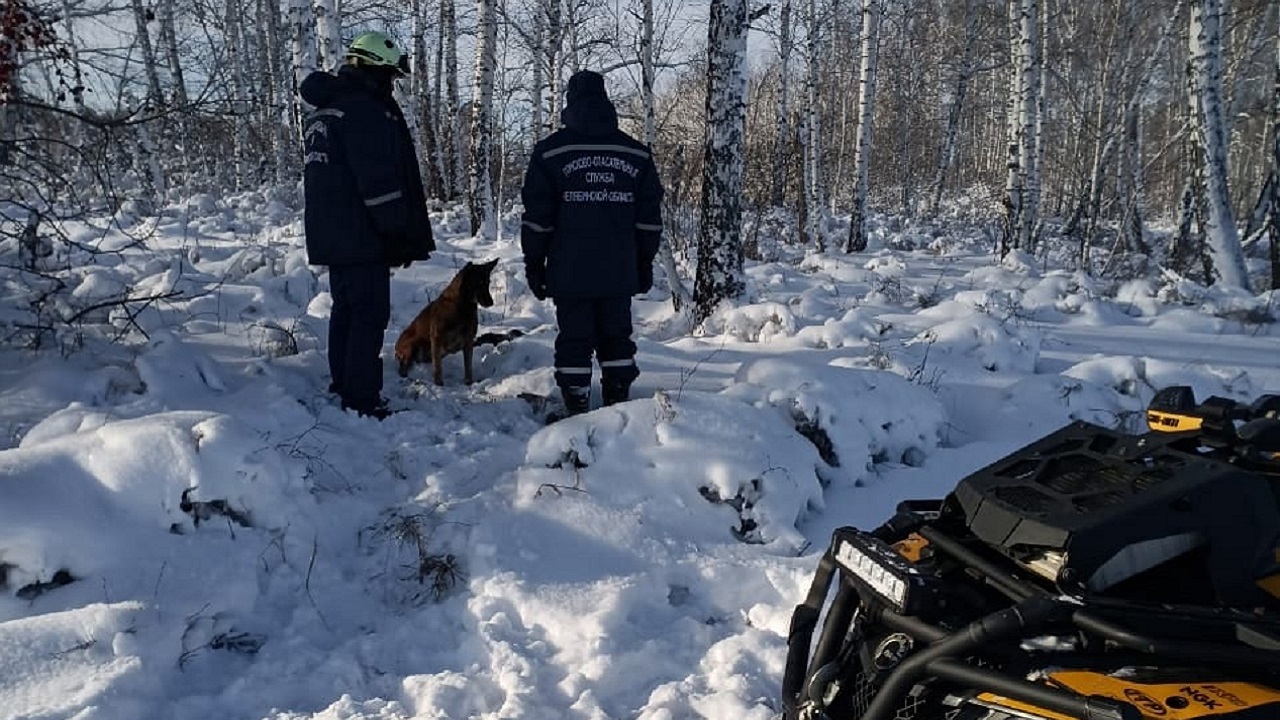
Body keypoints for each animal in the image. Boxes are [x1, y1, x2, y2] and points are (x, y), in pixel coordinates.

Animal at [394, 256, 499, 384]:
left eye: (488, 283)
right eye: (478, 283)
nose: (491, 302)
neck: (462, 306)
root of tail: (396, 347)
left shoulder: (468, 340)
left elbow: (468, 367)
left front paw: (468, 382)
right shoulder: (437, 338)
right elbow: (438, 367)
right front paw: (439, 384)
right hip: (412, 345)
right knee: (403, 368)